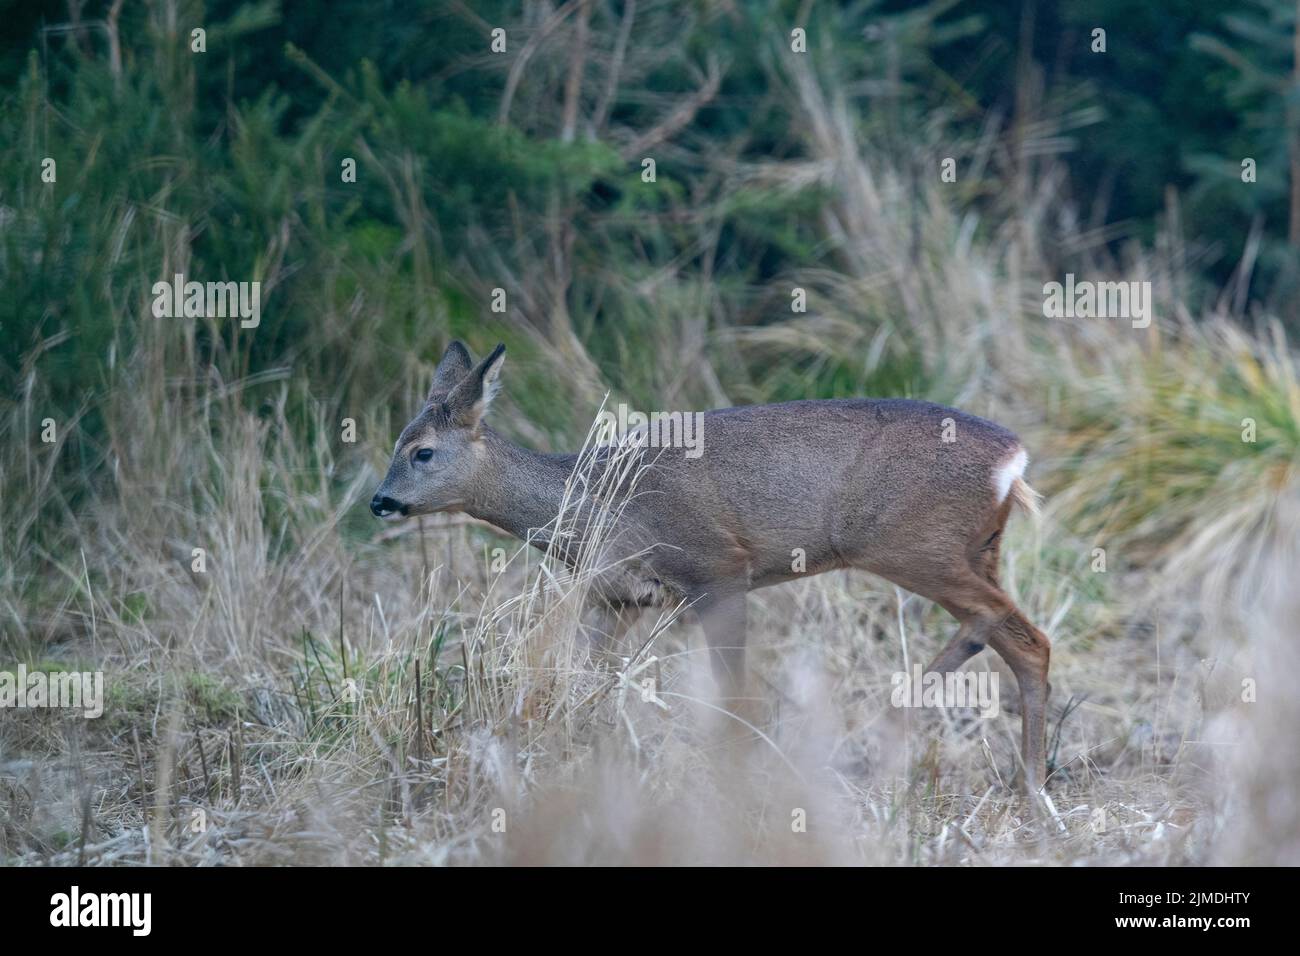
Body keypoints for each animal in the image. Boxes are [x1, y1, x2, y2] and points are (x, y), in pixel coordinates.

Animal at [371, 341, 1052, 794]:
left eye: (422, 452)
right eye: (396, 445)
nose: (379, 500)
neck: (591, 501)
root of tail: (1013, 460)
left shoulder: (717, 566)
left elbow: (734, 693)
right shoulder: (615, 596)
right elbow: (576, 683)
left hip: (911, 543)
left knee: (1001, 623)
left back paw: (877, 738)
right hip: (976, 549)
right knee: (1027, 643)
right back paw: (1031, 785)